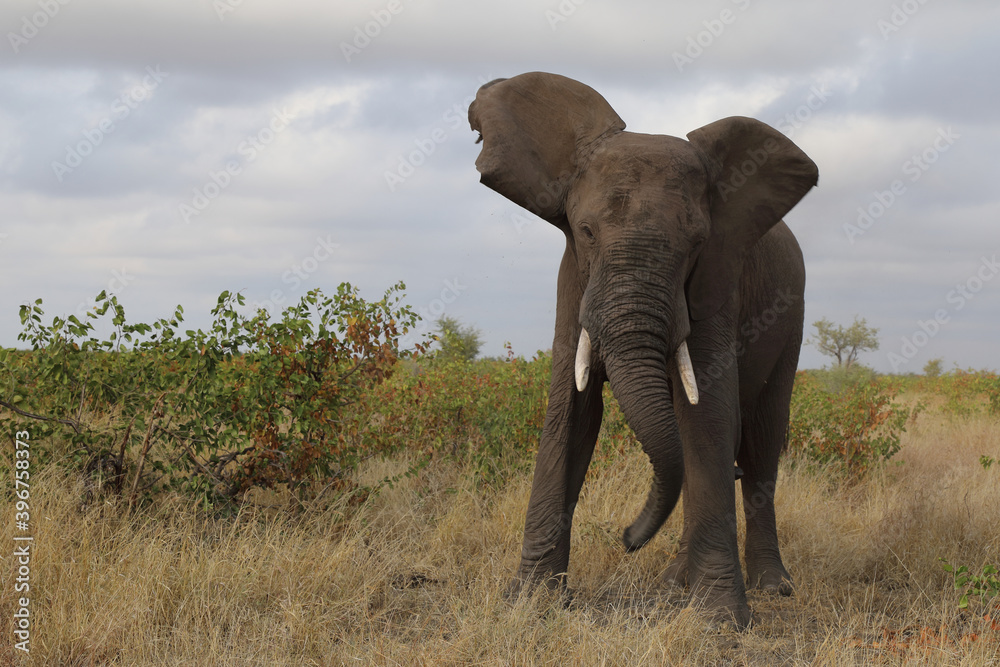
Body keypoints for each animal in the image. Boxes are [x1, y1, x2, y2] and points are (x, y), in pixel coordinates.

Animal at [467, 72, 818, 628]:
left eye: (696, 243)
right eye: (586, 231)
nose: (626, 538)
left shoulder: (717, 279)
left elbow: (707, 412)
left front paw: (721, 620)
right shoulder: (575, 277)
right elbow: (570, 408)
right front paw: (530, 603)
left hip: (792, 315)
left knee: (761, 440)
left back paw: (769, 587)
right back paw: (676, 582)